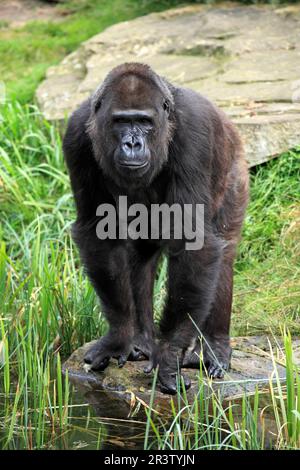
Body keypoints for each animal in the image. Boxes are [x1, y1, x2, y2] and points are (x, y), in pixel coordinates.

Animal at [62, 61, 248, 392]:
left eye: (144, 122)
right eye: (121, 121)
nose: (132, 143)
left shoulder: (195, 134)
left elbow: (194, 241)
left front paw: (168, 355)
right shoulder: (76, 135)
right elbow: (98, 231)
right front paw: (121, 336)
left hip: (235, 168)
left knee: (223, 253)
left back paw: (213, 347)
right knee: (141, 260)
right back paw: (142, 341)